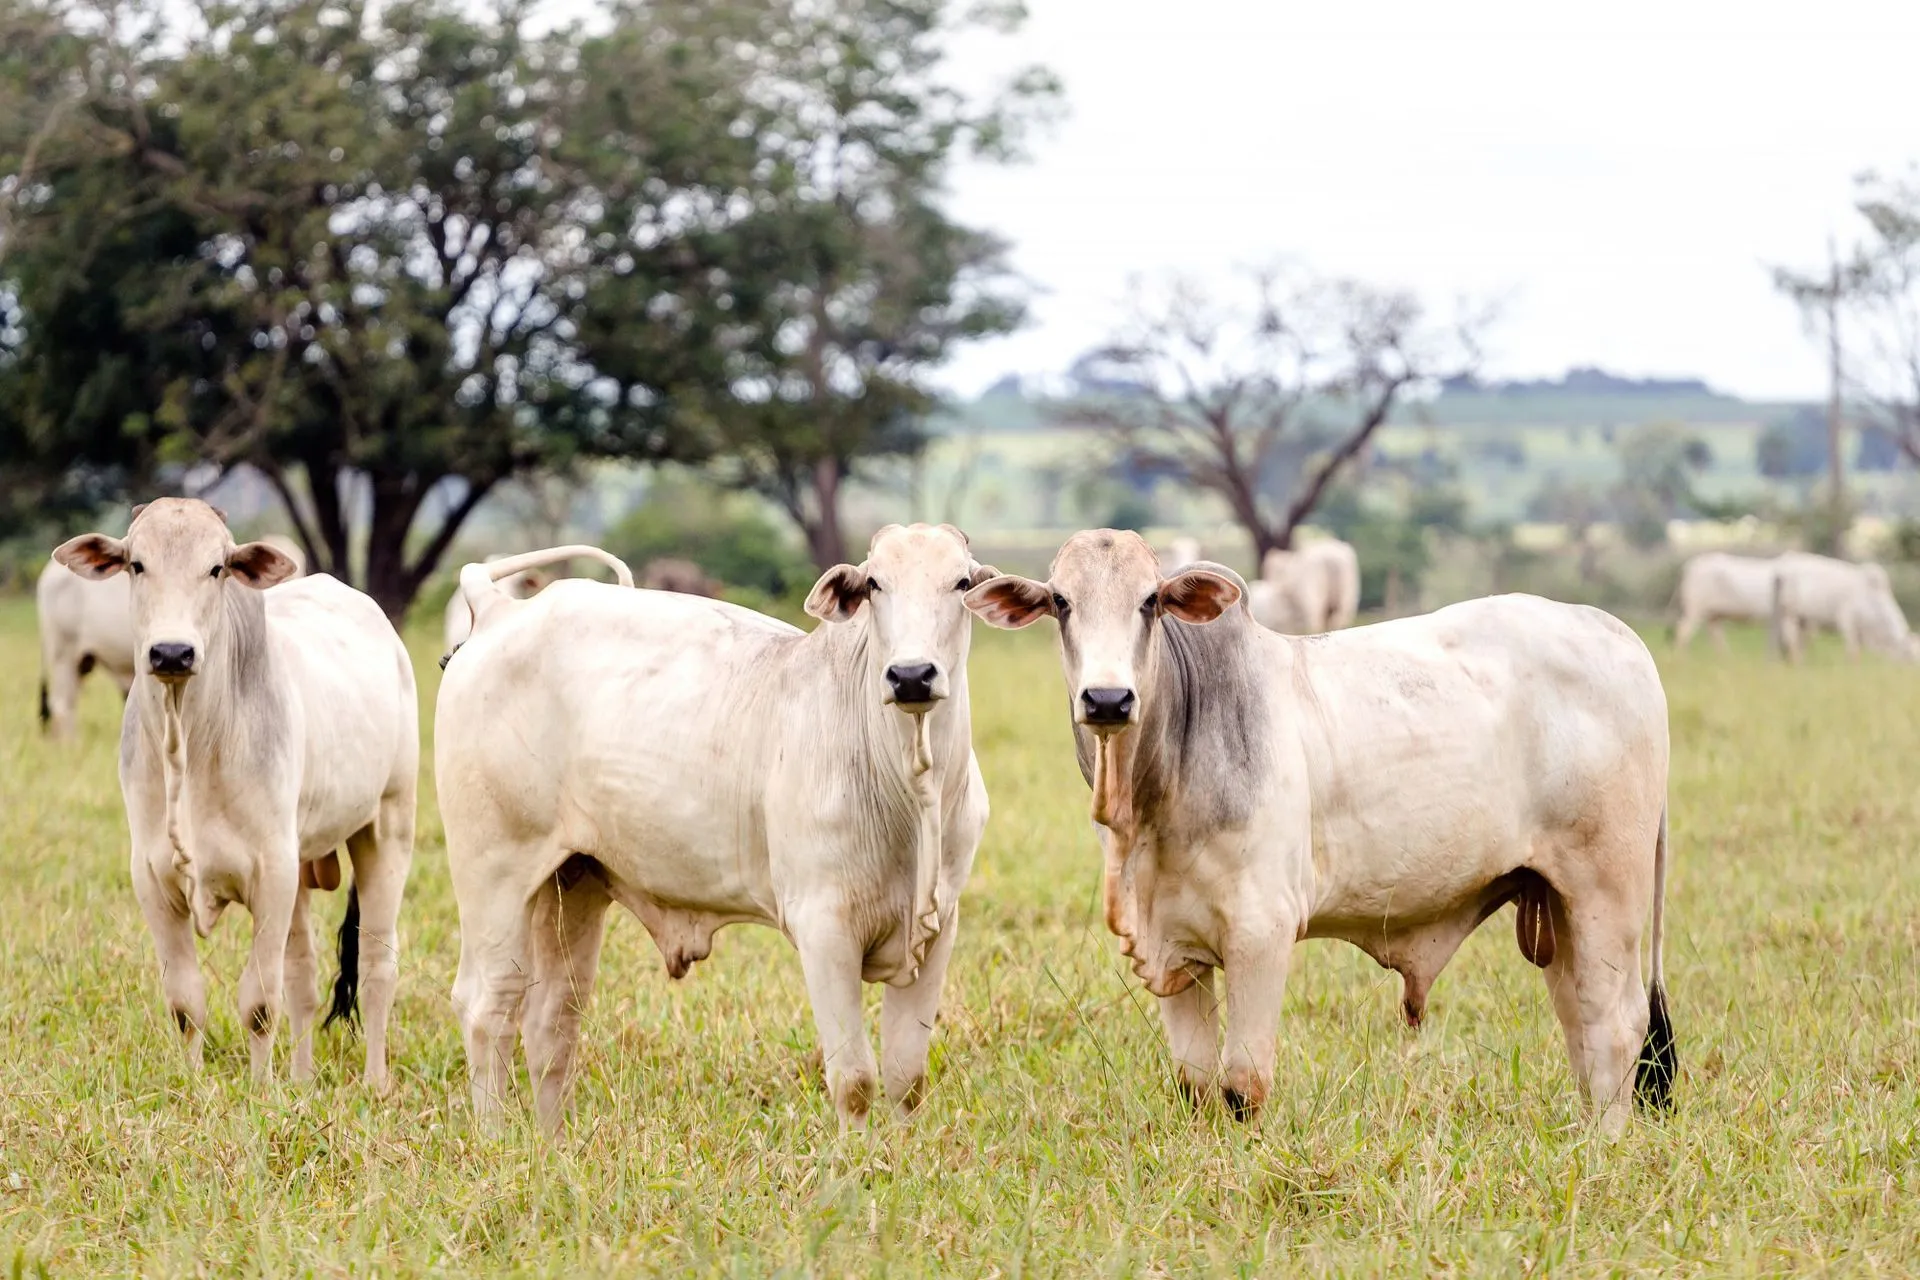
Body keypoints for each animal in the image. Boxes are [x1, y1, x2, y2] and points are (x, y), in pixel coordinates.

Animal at [53, 499, 417, 1088]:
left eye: (216, 568)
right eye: (136, 564)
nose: (171, 653)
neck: (189, 744)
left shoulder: (271, 874)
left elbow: (259, 1003)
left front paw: (261, 1089)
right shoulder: (152, 880)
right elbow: (185, 1002)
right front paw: (195, 1084)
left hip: (387, 826)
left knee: (376, 965)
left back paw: (376, 1083)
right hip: (303, 866)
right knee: (304, 975)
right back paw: (302, 1079)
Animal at [435, 523, 995, 1132]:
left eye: (962, 582)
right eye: (874, 583)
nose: (912, 675)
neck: (911, 789)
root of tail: (498, 611)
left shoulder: (940, 927)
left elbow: (905, 1078)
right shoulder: (823, 926)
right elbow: (855, 1081)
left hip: (572, 882)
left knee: (551, 1021)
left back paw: (552, 1141)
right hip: (494, 874)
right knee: (488, 1005)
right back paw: (496, 1138)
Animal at [965, 529, 1675, 1136]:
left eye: (1149, 601)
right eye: (1061, 602)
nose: (1108, 700)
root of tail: (1619, 634)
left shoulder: (1261, 930)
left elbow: (1241, 1084)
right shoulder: (1177, 946)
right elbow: (1196, 1085)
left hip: (1607, 892)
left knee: (1618, 1024)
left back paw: (1606, 1147)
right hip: (1555, 903)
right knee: (1582, 1022)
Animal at [1773, 552, 1920, 663]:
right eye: (1910, 656)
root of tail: (1786, 560)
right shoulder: (1848, 623)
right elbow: (1853, 652)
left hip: (1803, 620)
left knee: (1798, 641)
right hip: (1789, 614)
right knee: (1791, 640)